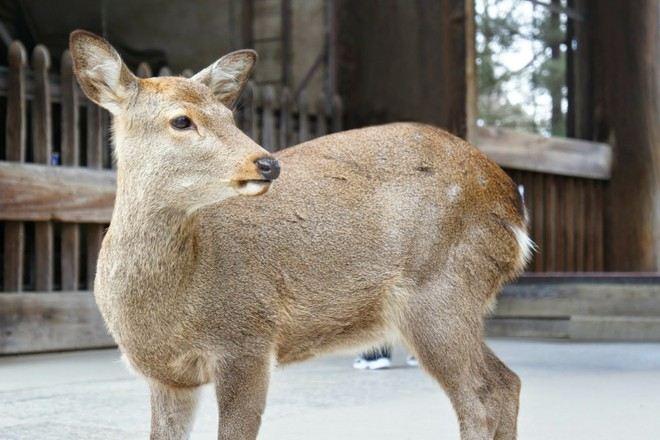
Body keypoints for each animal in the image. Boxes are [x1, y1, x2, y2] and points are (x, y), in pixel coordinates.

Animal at [70, 30, 532, 440]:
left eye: (230, 116)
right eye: (181, 120)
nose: (267, 163)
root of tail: (513, 206)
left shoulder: (248, 338)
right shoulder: (168, 377)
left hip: (441, 289)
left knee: (482, 397)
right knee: (507, 383)